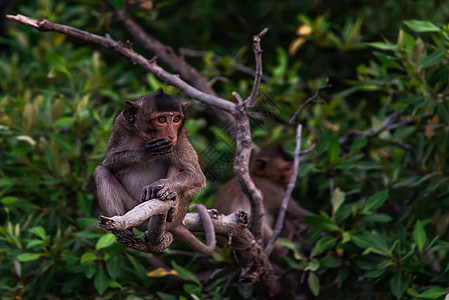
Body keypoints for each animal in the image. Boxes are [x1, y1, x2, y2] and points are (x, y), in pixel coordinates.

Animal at [93, 88, 214, 254]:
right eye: (162, 120)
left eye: (176, 119)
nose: (171, 135)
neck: (144, 136)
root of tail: (178, 223)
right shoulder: (121, 125)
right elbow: (108, 163)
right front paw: (148, 151)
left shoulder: (180, 137)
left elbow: (195, 175)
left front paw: (161, 186)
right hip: (133, 209)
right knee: (101, 171)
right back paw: (121, 228)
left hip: (173, 219)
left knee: (176, 165)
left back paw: (170, 199)